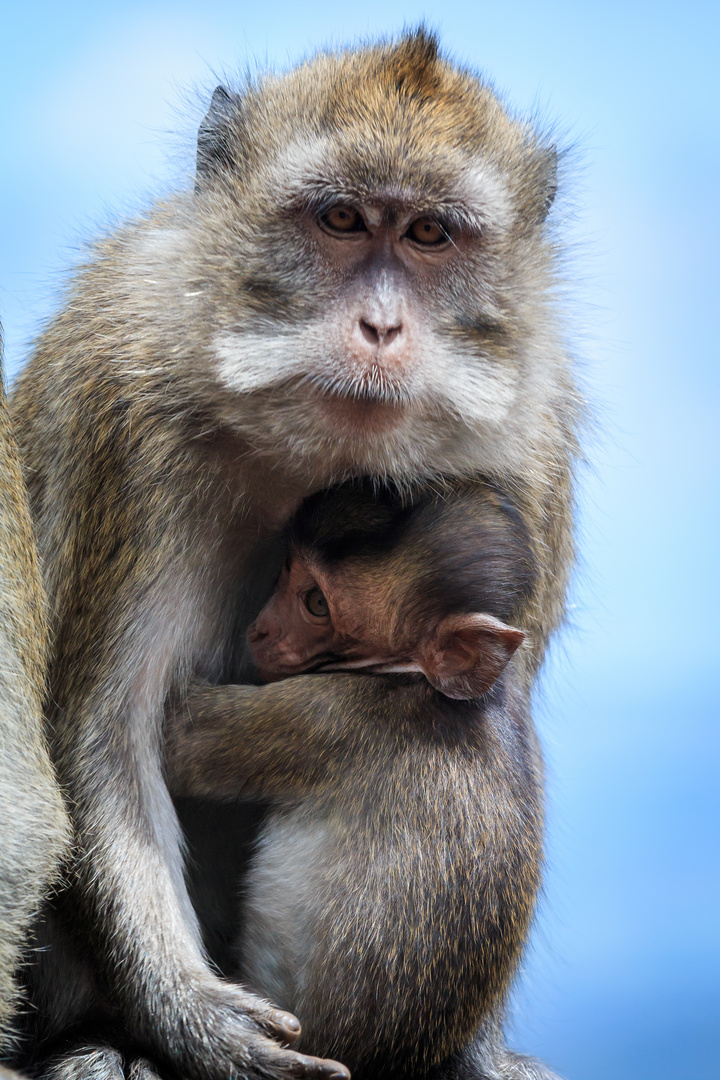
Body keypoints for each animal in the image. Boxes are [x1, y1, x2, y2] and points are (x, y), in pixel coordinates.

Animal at [169, 486, 552, 1080]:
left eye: (317, 604)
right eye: (288, 569)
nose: (261, 629)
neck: (413, 676)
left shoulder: (326, 715)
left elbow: (180, 736)